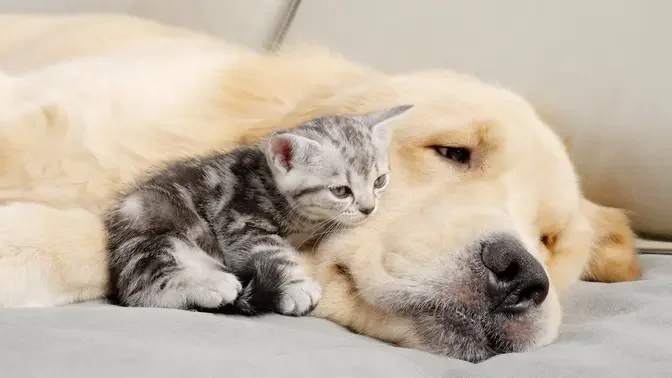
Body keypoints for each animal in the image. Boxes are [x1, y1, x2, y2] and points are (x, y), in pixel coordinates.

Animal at [105, 105, 412, 318]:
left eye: (379, 181)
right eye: (341, 191)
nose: (368, 208)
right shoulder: (239, 221)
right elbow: (275, 252)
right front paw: (297, 287)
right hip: (154, 225)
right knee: (142, 291)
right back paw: (213, 285)